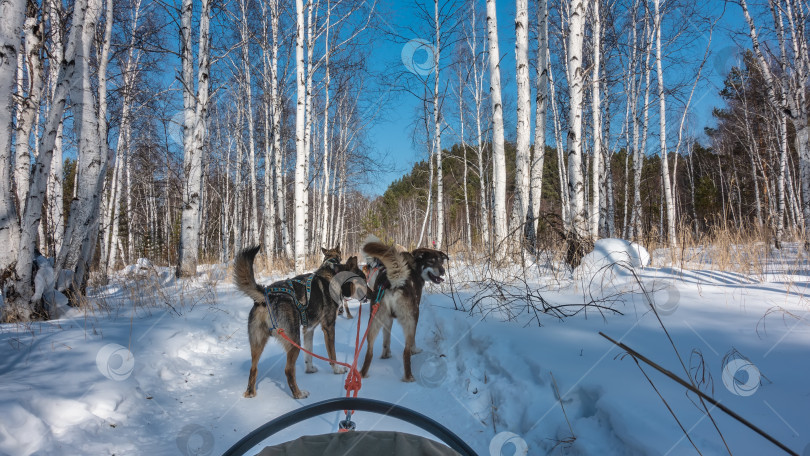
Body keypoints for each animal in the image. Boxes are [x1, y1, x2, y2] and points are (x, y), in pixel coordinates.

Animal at [232, 246, 362, 400]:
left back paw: (250, 392)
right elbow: (332, 355)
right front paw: (337, 369)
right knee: (288, 370)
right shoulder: (329, 327)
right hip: (294, 342)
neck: (332, 274)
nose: (370, 293)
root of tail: (267, 295)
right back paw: (298, 394)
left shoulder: (308, 329)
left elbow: (309, 354)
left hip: (258, 343)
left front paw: (310, 369)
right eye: (363, 279)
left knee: (253, 368)